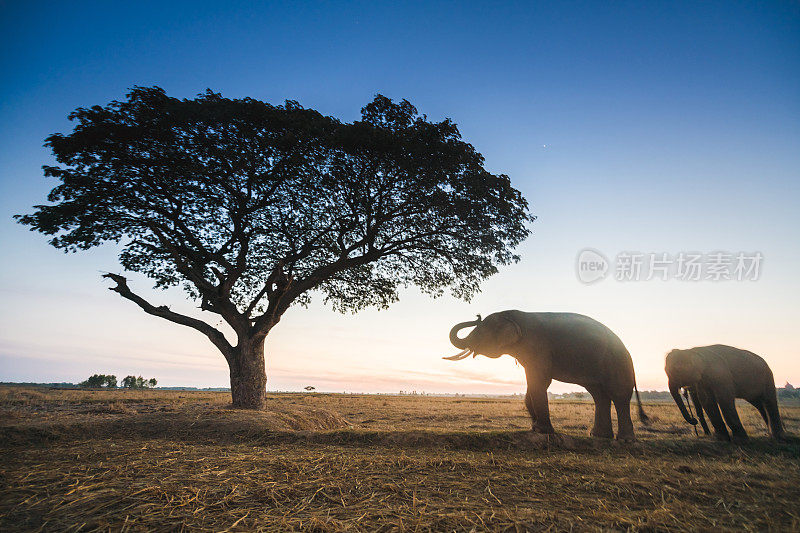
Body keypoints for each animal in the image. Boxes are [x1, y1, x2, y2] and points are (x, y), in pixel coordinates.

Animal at [444, 308, 648, 440]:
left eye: (480, 331)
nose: (476, 315)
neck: (513, 316)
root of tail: (627, 352)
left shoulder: (537, 346)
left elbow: (539, 382)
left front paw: (542, 431)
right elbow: (533, 385)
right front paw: (535, 429)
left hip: (616, 364)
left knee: (618, 396)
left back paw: (625, 440)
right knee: (600, 396)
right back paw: (599, 436)